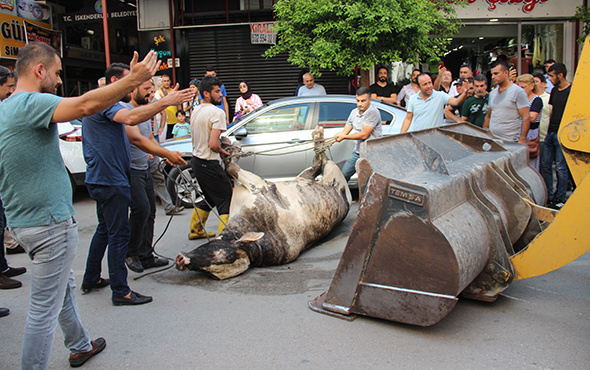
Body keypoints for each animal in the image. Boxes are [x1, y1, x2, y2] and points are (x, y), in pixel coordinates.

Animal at [176, 132, 352, 278]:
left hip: (331, 171)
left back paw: (318, 134)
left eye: (218, 254)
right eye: (209, 274)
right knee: (316, 164)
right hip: (303, 178)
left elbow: (232, 168)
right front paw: (228, 148)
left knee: (322, 160)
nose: (181, 260)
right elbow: (229, 172)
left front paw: (230, 150)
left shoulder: (259, 185)